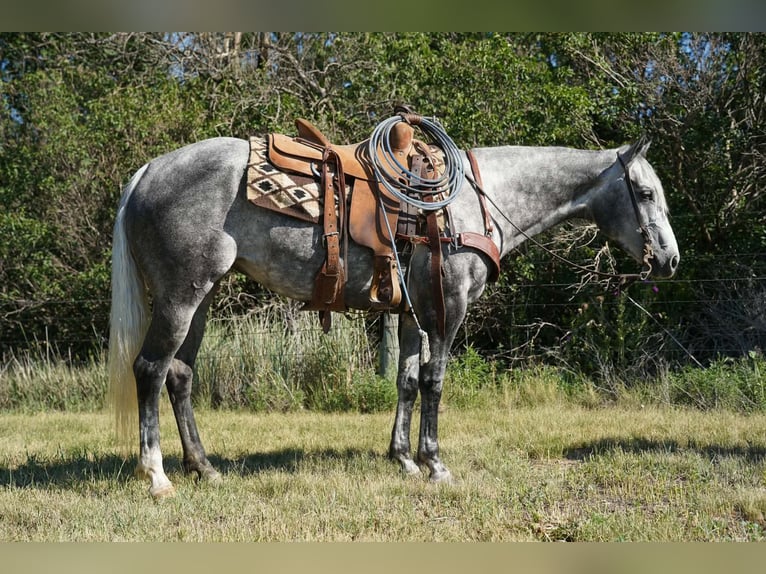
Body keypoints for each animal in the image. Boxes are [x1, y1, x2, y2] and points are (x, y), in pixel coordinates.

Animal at [109, 130, 679, 497]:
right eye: (645, 192)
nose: (670, 259)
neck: (474, 201)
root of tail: (148, 172)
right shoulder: (448, 307)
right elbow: (434, 379)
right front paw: (434, 463)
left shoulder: (410, 313)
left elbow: (405, 381)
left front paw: (403, 458)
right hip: (181, 297)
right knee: (150, 370)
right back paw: (156, 475)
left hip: (201, 297)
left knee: (180, 375)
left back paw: (203, 468)